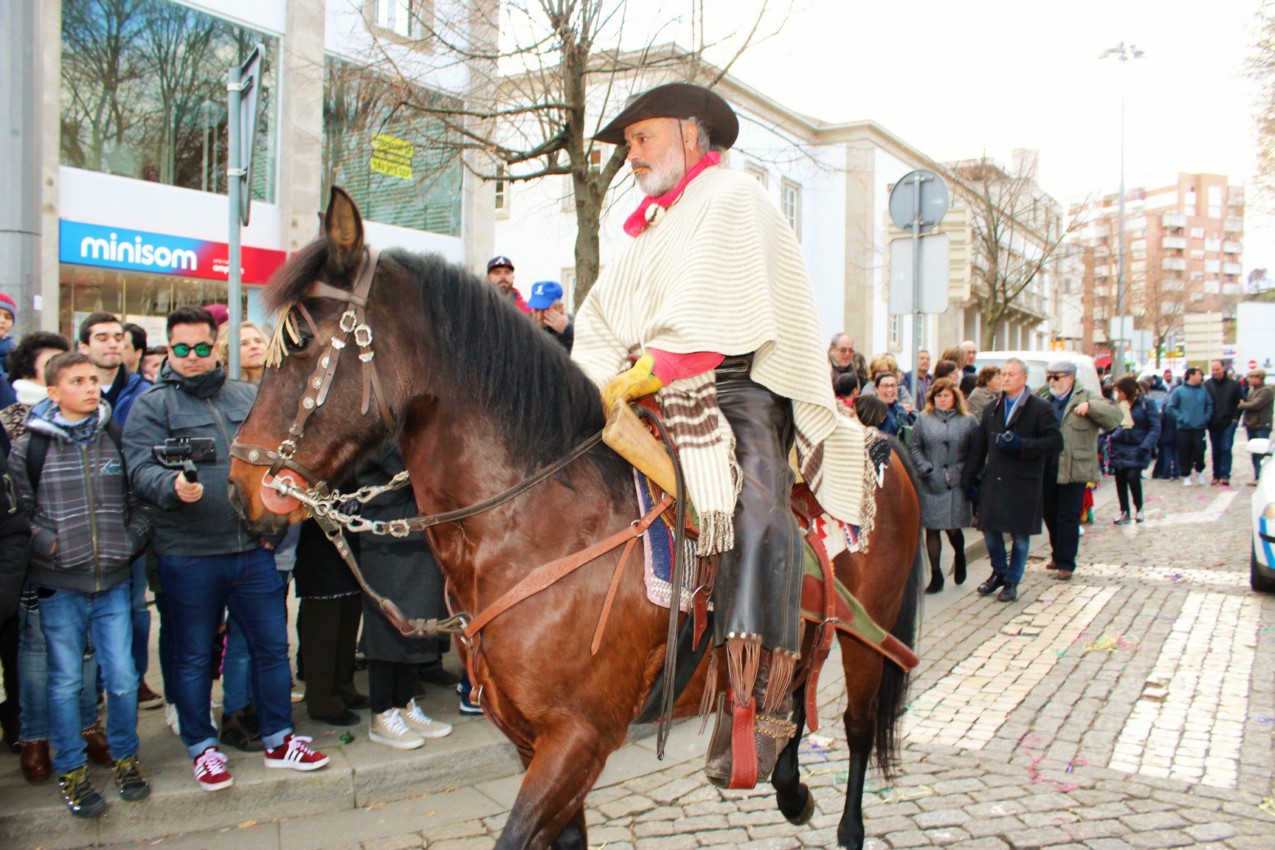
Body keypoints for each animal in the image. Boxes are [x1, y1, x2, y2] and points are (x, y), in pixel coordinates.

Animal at [229, 191, 923, 850]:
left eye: (300, 341)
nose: (241, 490)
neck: (531, 525)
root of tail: (885, 442)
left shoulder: (579, 738)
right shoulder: (532, 737)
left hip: (869, 638)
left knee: (858, 727)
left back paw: (839, 819)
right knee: (794, 689)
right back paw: (785, 778)